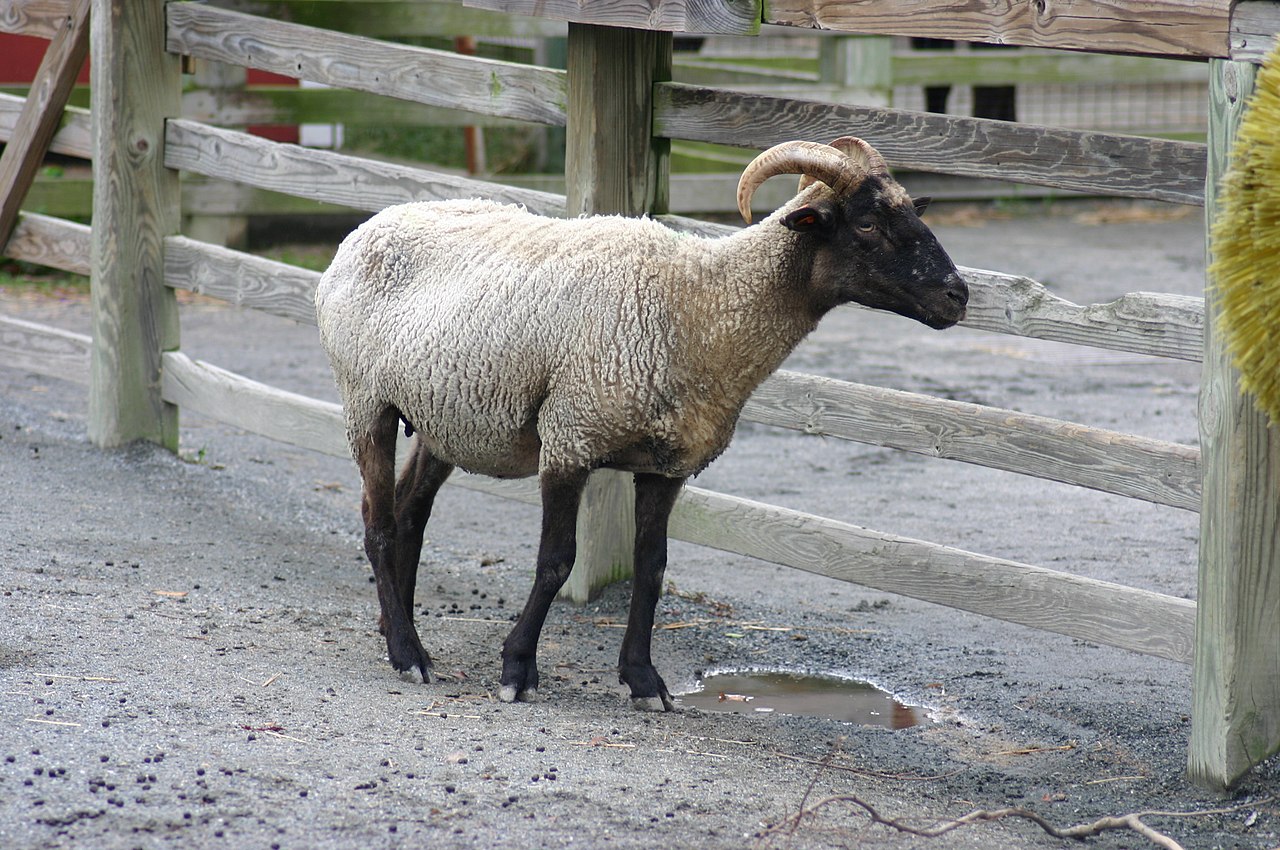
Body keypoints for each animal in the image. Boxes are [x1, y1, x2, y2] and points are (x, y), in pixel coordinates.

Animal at [314, 137, 962, 711]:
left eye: (910, 210)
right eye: (867, 224)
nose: (958, 296)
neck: (701, 304)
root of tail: (369, 225)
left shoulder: (667, 466)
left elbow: (651, 570)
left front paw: (645, 681)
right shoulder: (569, 439)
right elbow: (556, 562)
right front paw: (517, 670)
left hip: (444, 417)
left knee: (409, 516)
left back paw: (395, 628)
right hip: (366, 401)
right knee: (378, 525)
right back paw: (408, 654)